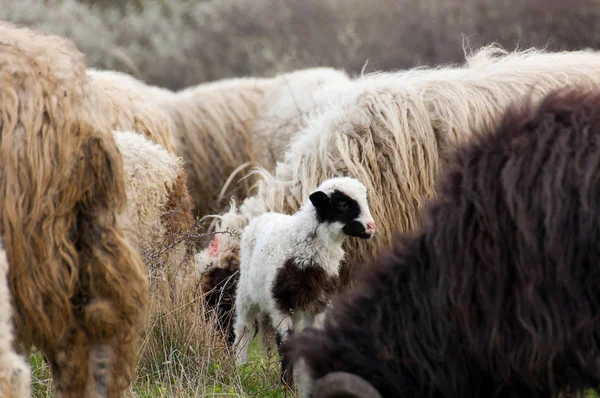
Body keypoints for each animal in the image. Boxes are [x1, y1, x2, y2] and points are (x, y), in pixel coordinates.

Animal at [233, 177, 376, 386]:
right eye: (342, 204)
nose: (371, 227)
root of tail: (264, 216)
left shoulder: (320, 302)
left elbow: (309, 341)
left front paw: (306, 382)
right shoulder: (279, 301)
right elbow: (286, 342)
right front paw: (286, 385)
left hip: (299, 308)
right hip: (246, 294)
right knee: (245, 329)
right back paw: (240, 366)